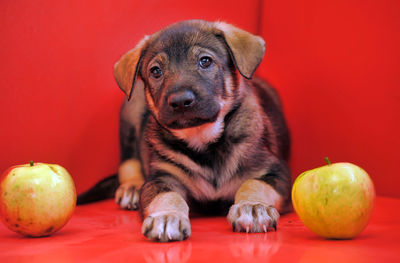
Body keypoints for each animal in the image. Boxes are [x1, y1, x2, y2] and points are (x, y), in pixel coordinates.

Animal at [77, 20, 290, 243]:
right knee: (128, 162)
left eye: (205, 61)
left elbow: (255, 184)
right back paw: (132, 187)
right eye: (156, 71)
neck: (204, 142)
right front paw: (166, 217)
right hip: (131, 111)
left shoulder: (275, 170)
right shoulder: (162, 177)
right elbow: (167, 196)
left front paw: (252, 207)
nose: (180, 101)